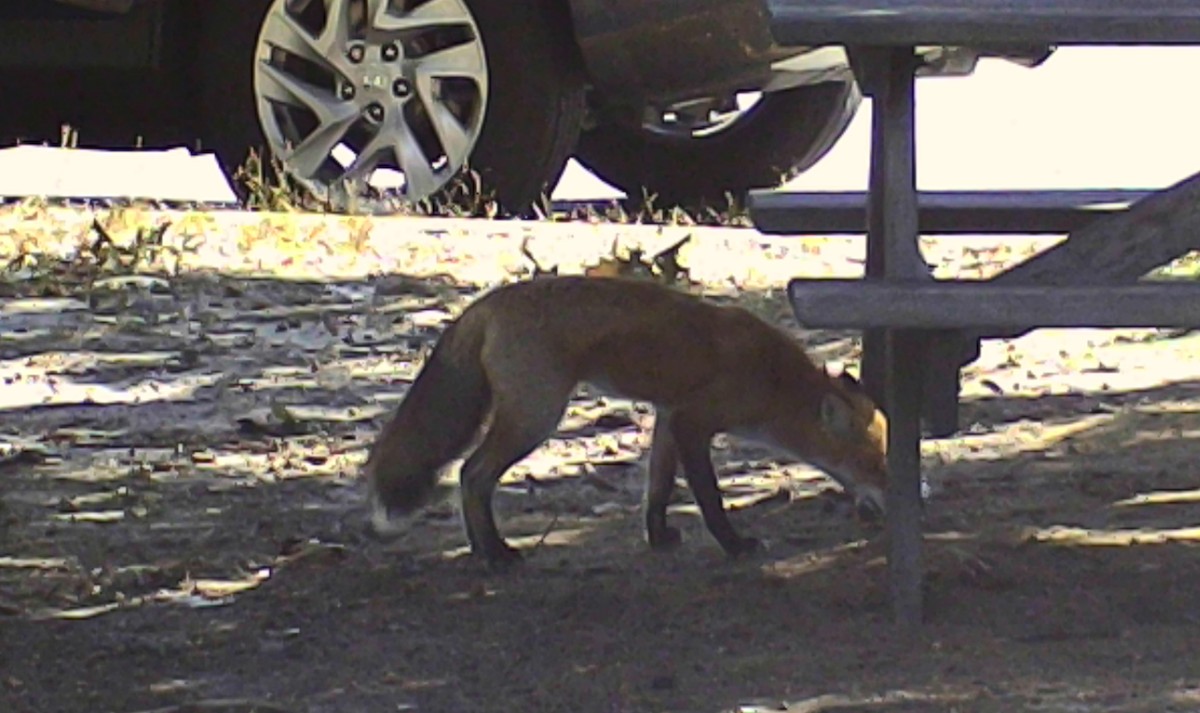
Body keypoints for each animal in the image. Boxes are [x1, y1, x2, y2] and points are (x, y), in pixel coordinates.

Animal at [364, 275, 888, 566]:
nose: (896, 506)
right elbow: (710, 499)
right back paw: (495, 552)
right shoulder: (694, 423)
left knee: (469, 476)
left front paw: (658, 537)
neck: (774, 380)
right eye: (875, 465)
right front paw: (734, 546)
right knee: (472, 474)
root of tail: (485, 303)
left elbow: (657, 487)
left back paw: (480, 548)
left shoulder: (669, 416)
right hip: (536, 417)